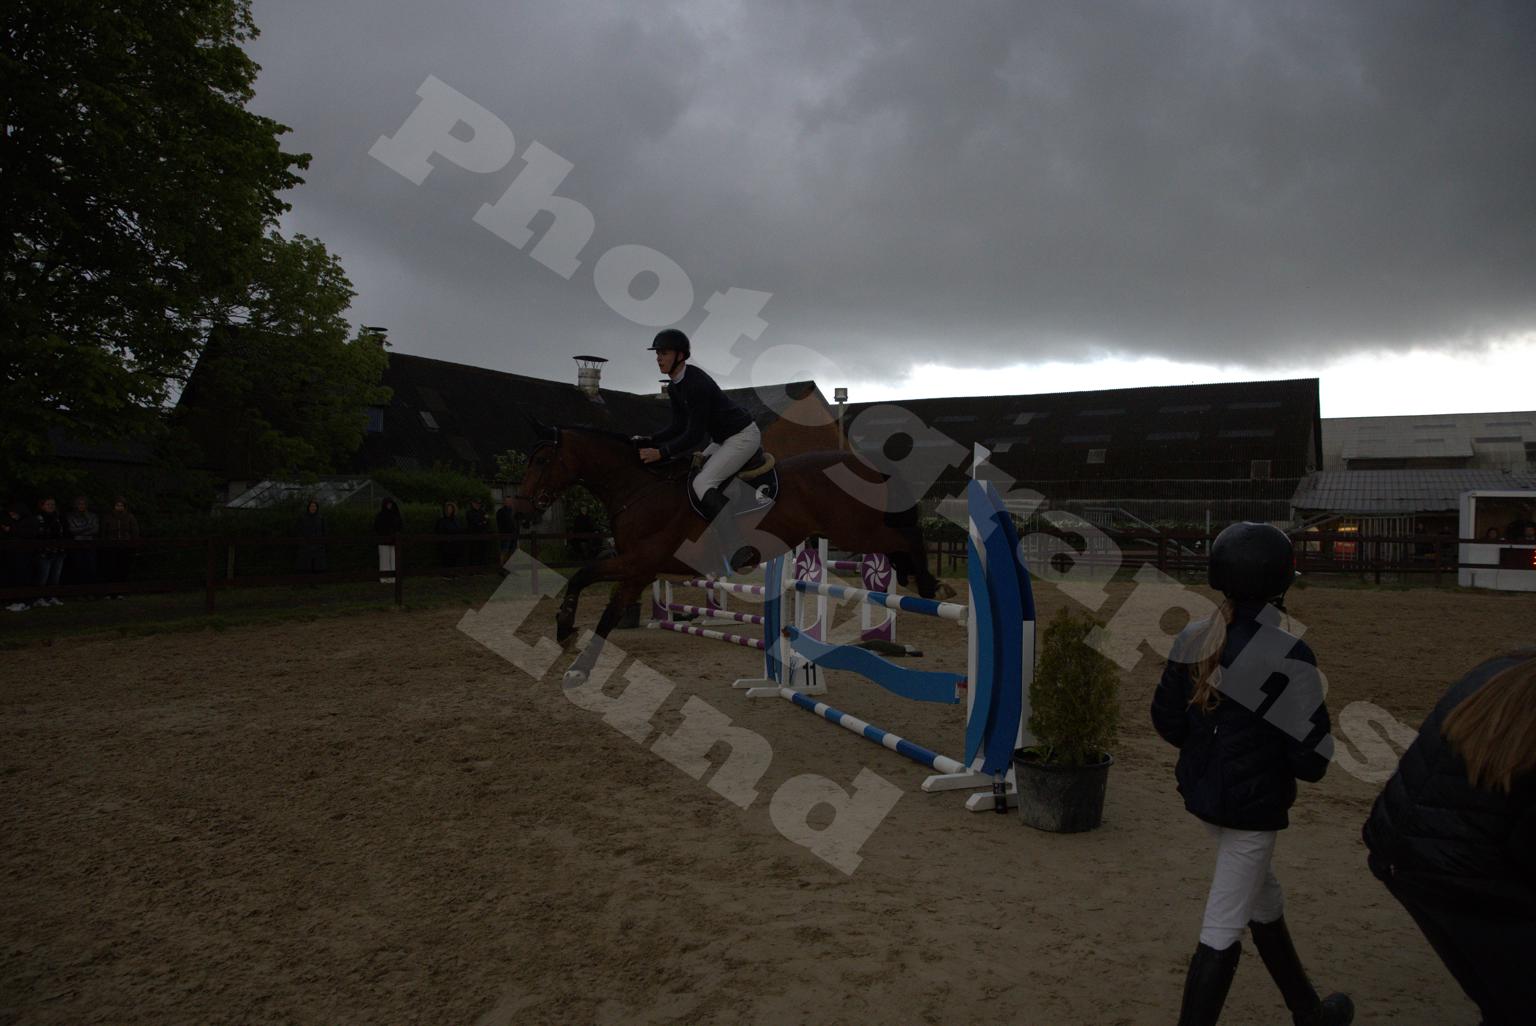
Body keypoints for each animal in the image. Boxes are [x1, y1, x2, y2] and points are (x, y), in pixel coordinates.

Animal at [512, 424, 952, 682]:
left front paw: (570, 645)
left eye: (542, 459)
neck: (641, 490)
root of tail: (864, 464)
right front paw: (571, 644)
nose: (517, 510)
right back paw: (919, 580)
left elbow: (590, 587)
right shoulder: (638, 570)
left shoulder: (638, 564)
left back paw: (932, 585)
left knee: (907, 536)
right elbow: (596, 597)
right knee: (898, 544)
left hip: (856, 529)